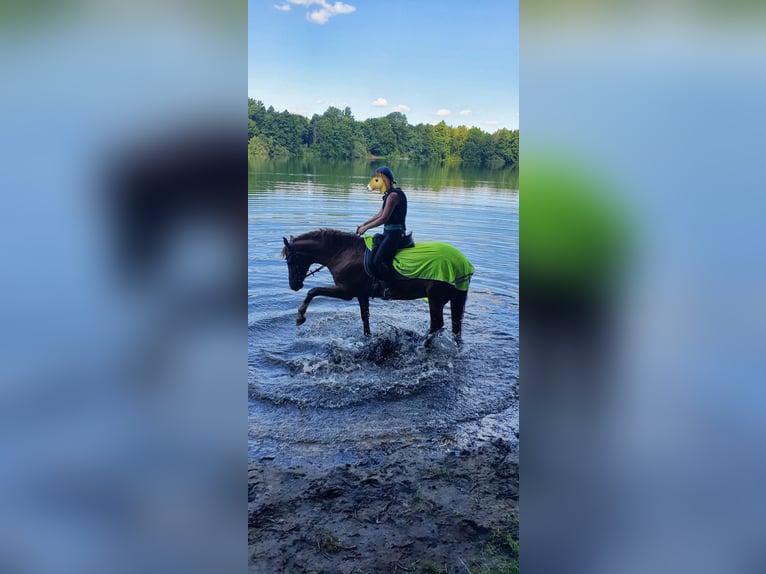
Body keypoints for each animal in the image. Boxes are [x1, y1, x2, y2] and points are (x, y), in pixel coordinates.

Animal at [282, 230, 474, 344]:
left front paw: (300, 316)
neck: (344, 253)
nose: (294, 285)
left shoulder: (346, 292)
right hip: (455, 298)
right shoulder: (361, 294)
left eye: (290, 260)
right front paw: (367, 338)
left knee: (437, 324)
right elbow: (365, 318)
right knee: (456, 326)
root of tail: (462, 264)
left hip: (435, 298)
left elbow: (313, 291)